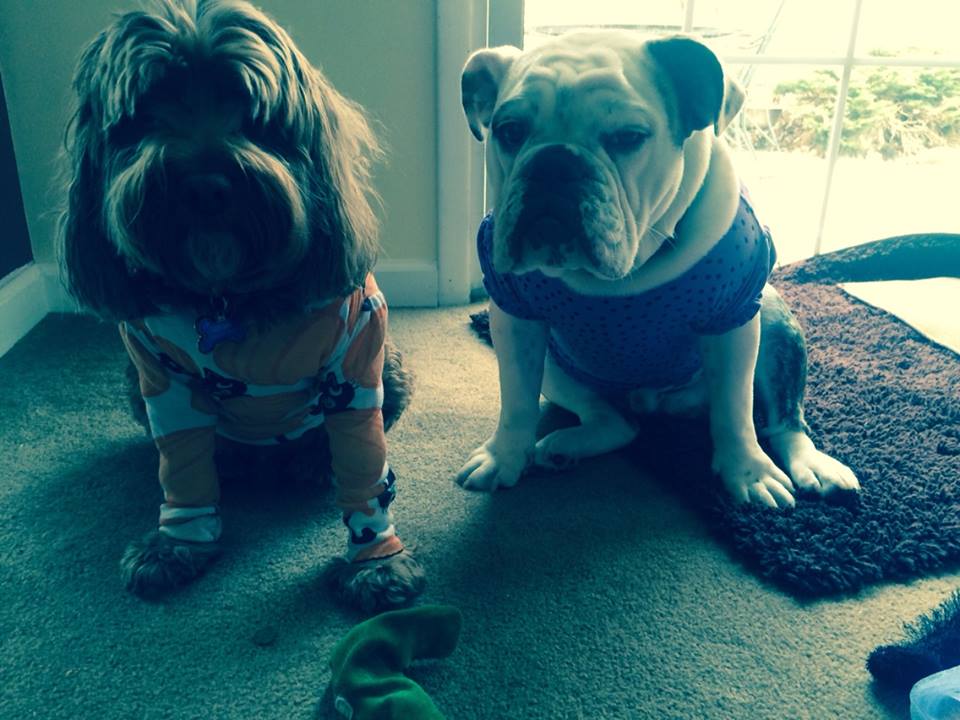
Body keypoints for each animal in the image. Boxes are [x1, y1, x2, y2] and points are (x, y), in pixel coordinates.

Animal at [59, 0, 424, 611]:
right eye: (145, 111)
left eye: (250, 110)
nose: (205, 186)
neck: (229, 295)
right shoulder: (161, 384)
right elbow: (181, 470)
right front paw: (176, 545)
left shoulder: (356, 369)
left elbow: (365, 470)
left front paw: (377, 563)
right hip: (133, 389)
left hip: (391, 373)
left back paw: (310, 464)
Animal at [457, 31, 860, 506]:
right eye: (509, 131)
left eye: (629, 137)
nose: (554, 162)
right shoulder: (515, 318)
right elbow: (516, 399)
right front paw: (503, 457)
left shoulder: (734, 322)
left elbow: (736, 409)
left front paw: (748, 471)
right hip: (557, 370)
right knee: (616, 422)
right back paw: (566, 446)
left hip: (777, 324)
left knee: (784, 419)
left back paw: (812, 463)